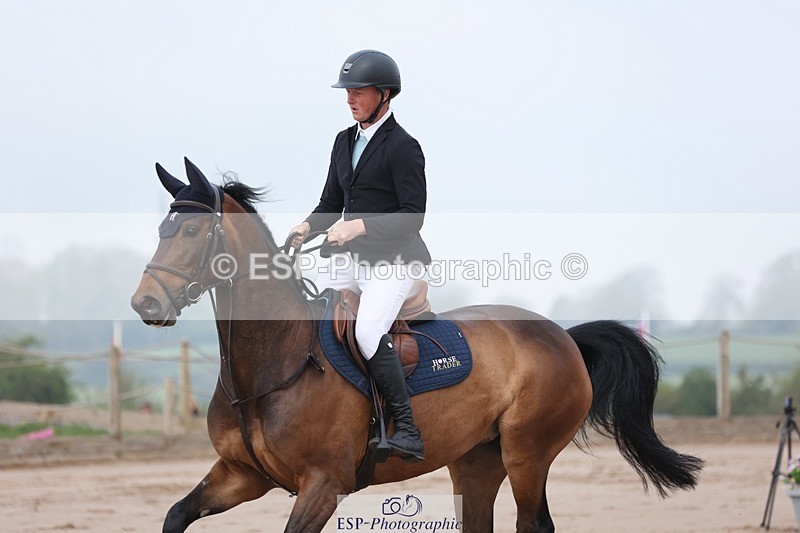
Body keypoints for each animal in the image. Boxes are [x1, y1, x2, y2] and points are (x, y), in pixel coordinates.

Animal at [131, 158, 702, 532]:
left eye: (192, 232)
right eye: (161, 228)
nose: (144, 303)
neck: (273, 359)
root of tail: (561, 335)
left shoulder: (322, 485)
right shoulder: (241, 475)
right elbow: (175, 515)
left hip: (528, 455)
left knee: (534, 523)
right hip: (476, 462)